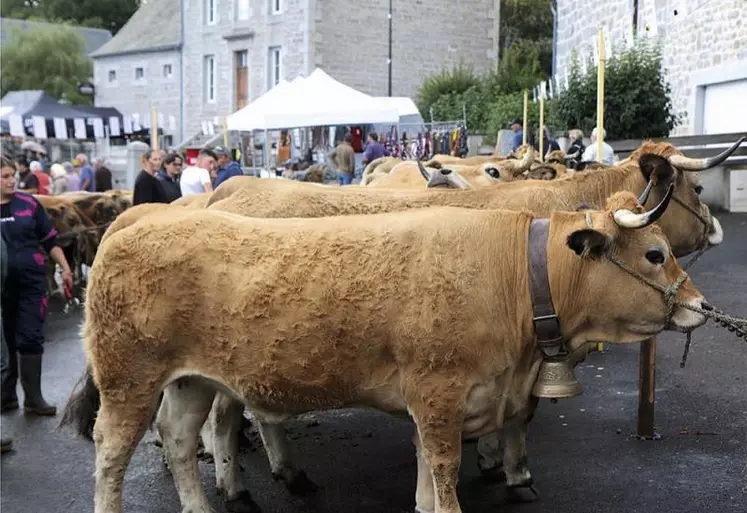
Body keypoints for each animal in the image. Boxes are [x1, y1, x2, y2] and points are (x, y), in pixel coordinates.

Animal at [62, 189, 708, 512]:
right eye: (654, 254)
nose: (700, 305)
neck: (513, 276)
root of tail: (135, 225)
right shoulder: (441, 397)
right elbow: (443, 484)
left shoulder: (438, 403)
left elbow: (426, 483)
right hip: (129, 380)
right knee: (111, 457)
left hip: (191, 380)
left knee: (176, 442)